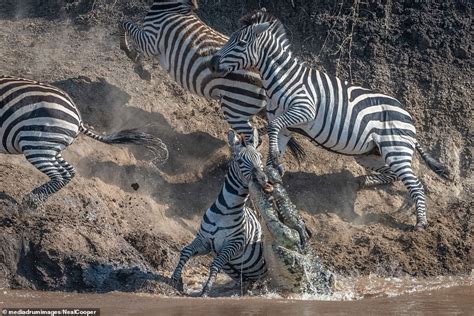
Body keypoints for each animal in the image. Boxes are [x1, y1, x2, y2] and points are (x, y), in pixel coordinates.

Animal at [0, 76, 168, 207]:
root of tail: (78, 117)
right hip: (50, 145)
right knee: (68, 172)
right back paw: (34, 201)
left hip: (37, 143)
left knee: (59, 174)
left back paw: (30, 202)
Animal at [117, 0, 306, 160]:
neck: (172, 8)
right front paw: (139, 66)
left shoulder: (150, 41)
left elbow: (123, 22)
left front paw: (132, 56)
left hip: (235, 108)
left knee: (253, 137)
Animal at [169, 128, 270, 296]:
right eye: (239, 161)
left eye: (260, 158)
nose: (263, 179)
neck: (226, 210)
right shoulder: (205, 241)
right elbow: (185, 251)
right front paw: (174, 280)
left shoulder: (234, 244)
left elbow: (215, 264)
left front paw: (205, 290)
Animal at [209, 9, 450, 230]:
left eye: (240, 43)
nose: (212, 62)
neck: (284, 78)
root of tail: (408, 117)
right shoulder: (284, 124)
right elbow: (274, 135)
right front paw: (273, 169)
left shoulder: (304, 110)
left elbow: (273, 128)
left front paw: (275, 161)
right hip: (370, 154)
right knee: (392, 175)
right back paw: (364, 181)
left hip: (395, 149)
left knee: (415, 184)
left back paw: (420, 223)